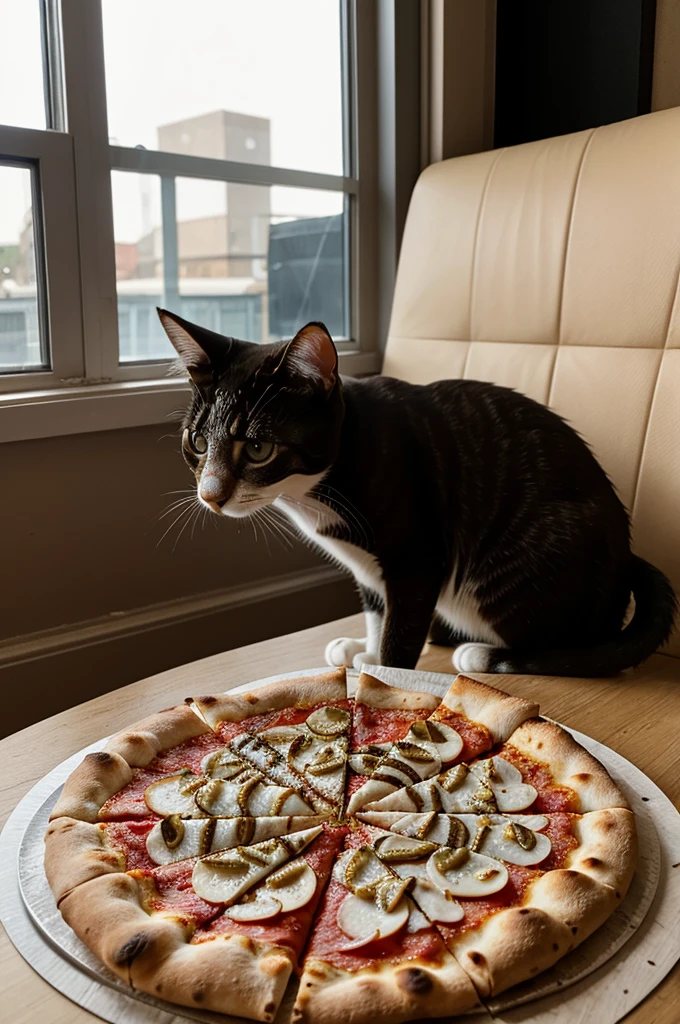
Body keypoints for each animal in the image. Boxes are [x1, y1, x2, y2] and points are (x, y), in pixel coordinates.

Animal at [157, 311, 675, 679]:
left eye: (258, 448)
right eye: (197, 442)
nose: (211, 495)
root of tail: (628, 559)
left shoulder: (419, 555)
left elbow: (402, 627)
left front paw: (383, 671)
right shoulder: (366, 564)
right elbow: (376, 605)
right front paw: (365, 648)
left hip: (534, 556)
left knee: (572, 644)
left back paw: (482, 653)